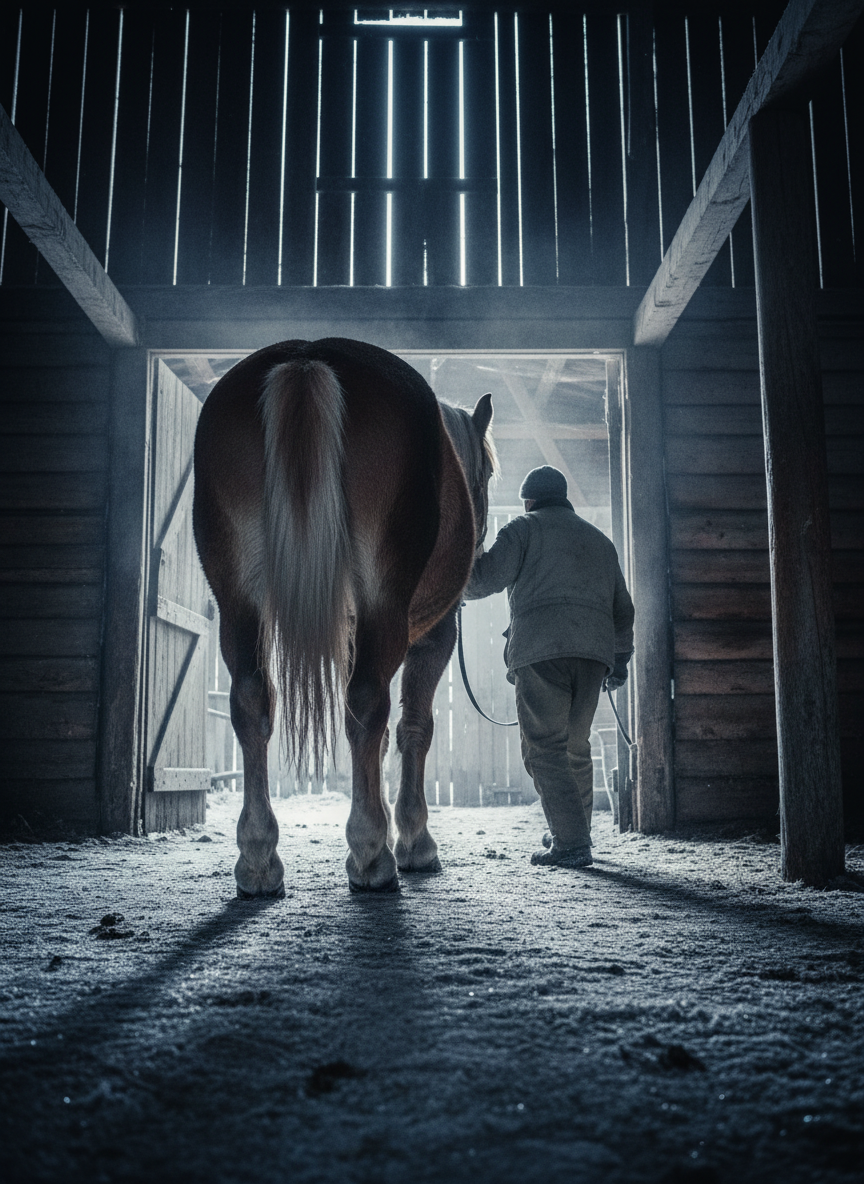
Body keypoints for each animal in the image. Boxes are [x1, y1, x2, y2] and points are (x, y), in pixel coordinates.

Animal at [193, 338, 496, 895]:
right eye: (485, 475)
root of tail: (307, 359)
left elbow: (379, 742)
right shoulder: (433, 636)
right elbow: (413, 727)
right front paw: (413, 841)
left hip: (238, 604)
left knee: (251, 702)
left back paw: (258, 860)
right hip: (383, 607)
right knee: (367, 704)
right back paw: (372, 855)